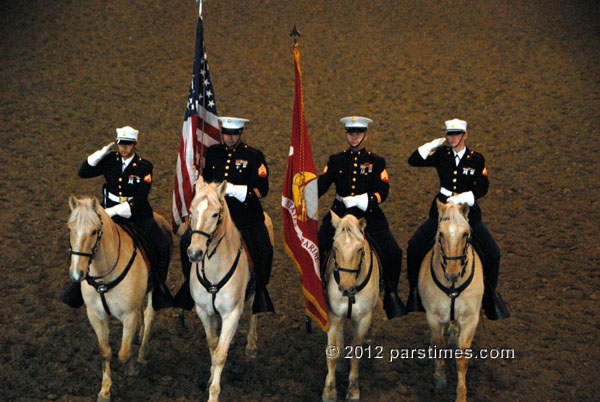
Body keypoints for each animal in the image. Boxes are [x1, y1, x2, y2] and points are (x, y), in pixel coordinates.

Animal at [67, 197, 171, 402]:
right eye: (70, 228)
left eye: (94, 231)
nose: (77, 273)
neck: (104, 275)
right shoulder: (96, 316)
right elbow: (105, 352)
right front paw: (105, 390)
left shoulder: (128, 315)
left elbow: (123, 352)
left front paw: (131, 369)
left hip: (155, 288)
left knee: (148, 315)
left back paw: (142, 353)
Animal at [188, 178, 274, 402]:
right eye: (191, 211)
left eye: (215, 214)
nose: (194, 253)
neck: (214, 268)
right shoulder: (203, 311)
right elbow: (212, 344)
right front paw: (210, 377)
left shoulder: (232, 313)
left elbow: (220, 354)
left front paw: (213, 394)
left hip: (255, 291)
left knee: (254, 312)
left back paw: (251, 346)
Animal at [324, 212, 380, 400]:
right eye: (335, 248)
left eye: (360, 250)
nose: (345, 288)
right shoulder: (334, 315)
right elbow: (332, 352)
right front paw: (329, 390)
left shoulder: (363, 318)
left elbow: (356, 353)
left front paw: (353, 389)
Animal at [420, 201, 486, 402]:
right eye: (441, 234)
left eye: (465, 234)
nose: (452, 273)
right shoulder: (433, 317)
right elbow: (438, 345)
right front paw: (440, 378)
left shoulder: (470, 320)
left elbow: (462, 358)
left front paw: (461, 395)